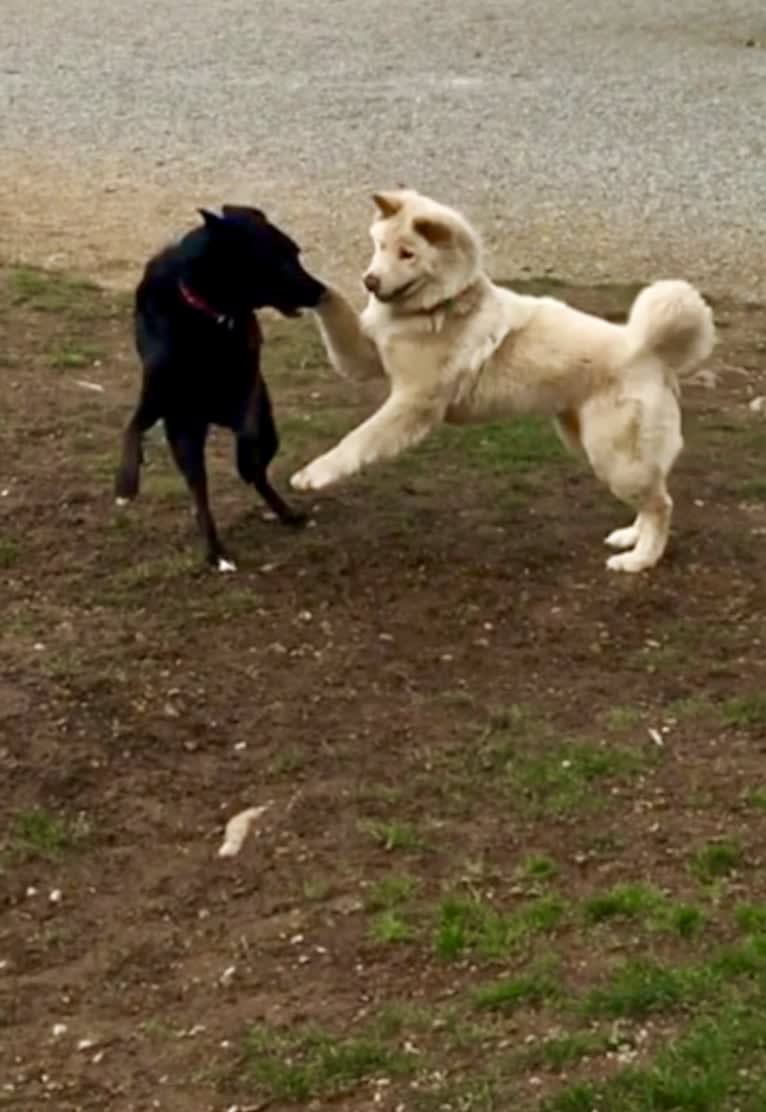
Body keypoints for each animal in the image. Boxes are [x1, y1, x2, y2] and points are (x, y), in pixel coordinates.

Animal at [115, 207, 324, 569]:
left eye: (296, 253)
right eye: (282, 258)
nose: (322, 290)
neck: (210, 315)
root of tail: (210, 418)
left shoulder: (249, 377)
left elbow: (250, 429)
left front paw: (245, 457)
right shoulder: (157, 394)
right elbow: (132, 427)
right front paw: (126, 481)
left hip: (266, 428)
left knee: (259, 471)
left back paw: (281, 509)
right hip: (185, 436)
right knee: (200, 495)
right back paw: (215, 550)